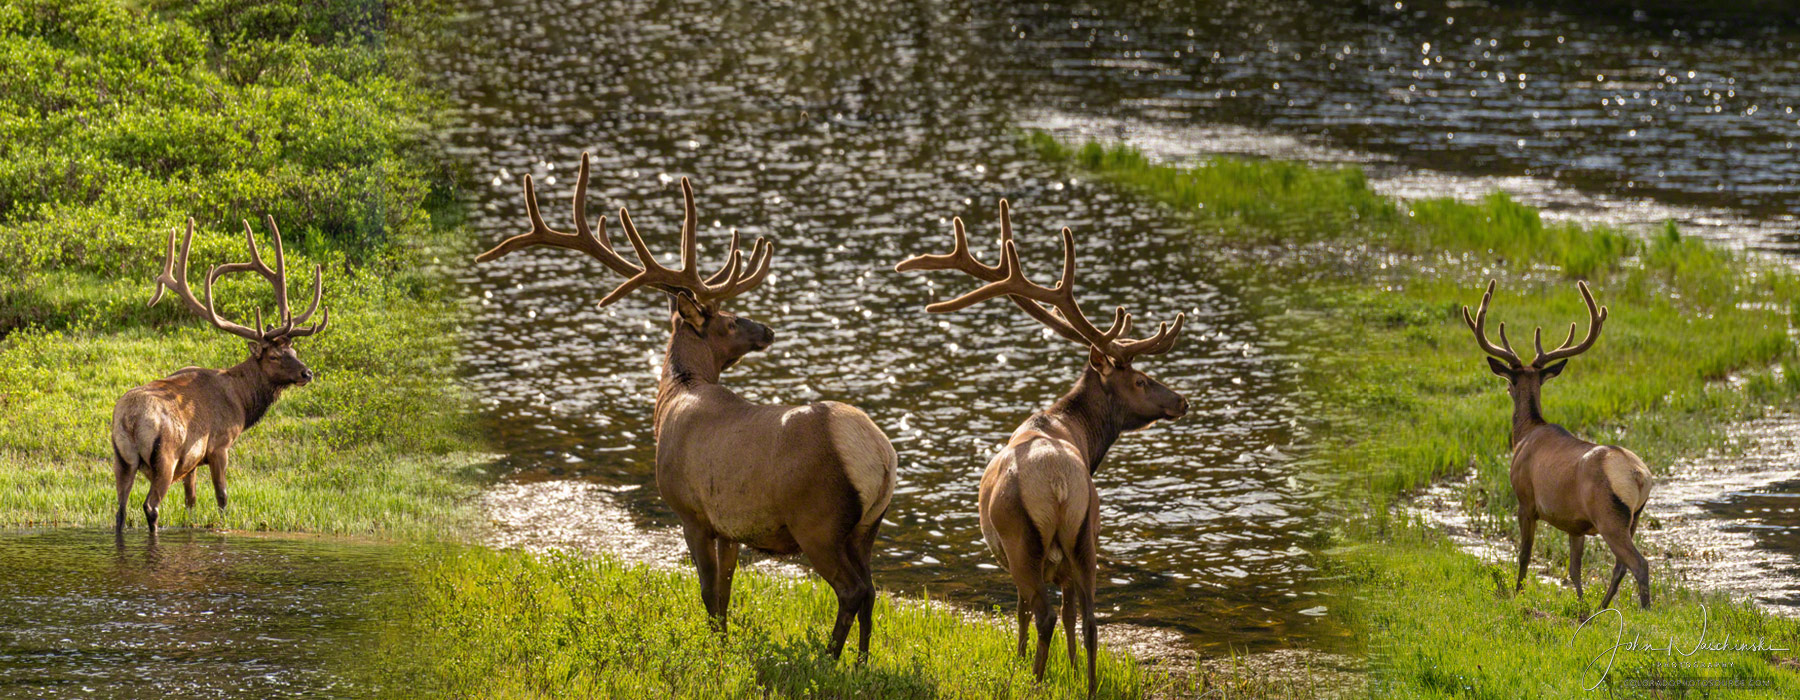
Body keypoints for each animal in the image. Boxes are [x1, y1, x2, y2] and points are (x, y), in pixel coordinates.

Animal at [115, 216, 331, 529]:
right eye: (274, 356)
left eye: (294, 350)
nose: (307, 373)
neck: (241, 402)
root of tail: (130, 420)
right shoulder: (219, 445)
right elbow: (222, 496)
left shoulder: (190, 462)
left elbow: (191, 500)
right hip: (165, 456)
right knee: (150, 506)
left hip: (121, 458)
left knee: (120, 510)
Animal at [478, 152, 900, 658]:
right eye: (732, 319)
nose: (768, 330)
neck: (674, 395)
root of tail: (880, 457)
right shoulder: (731, 525)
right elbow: (727, 588)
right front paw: (725, 640)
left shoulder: (690, 511)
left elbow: (707, 590)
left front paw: (714, 647)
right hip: (868, 526)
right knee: (871, 590)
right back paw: (860, 661)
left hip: (817, 519)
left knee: (852, 590)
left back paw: (827, 657)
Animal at [892, 201, 1188, 691]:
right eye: (1142, 381)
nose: (1182, 400)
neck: (1077, 435)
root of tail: (1059, 487)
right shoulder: (1070, 553)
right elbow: (1069, 617)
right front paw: (1071, 669)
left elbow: (1022, 613)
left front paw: (1021, 660)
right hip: (1086, 534)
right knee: (1089, 620)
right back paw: (1088, 685)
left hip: (1021, 541)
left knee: (1042, 612)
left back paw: (1032, 678)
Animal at [1468, 278, 1648, 604]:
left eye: (1510, 382)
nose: (1507, 389)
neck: (1525, 435)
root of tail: (1640, 477)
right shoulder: (1575, 523)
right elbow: (1574, 569)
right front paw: (1580, 604)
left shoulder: (1525, 499)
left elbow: (1524, 555)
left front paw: (1518, 593)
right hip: (1634, 517)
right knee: (1620, 567)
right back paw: (1602, 607)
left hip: (1609, 517)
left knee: (1639, 564)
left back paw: (1645, 610)